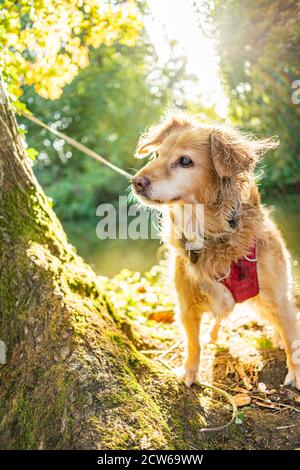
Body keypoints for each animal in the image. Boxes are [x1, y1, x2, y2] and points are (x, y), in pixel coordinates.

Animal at [132, 111, 300, 390]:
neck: (210, 234)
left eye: (185, 161)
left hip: (266, 299)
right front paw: (190, 371)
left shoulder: (275, 295)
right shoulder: (186, 304)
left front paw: (296, 373)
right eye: (156, 155)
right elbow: (193, 343)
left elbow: (291, 336)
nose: (136, 182)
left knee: (281, 319)